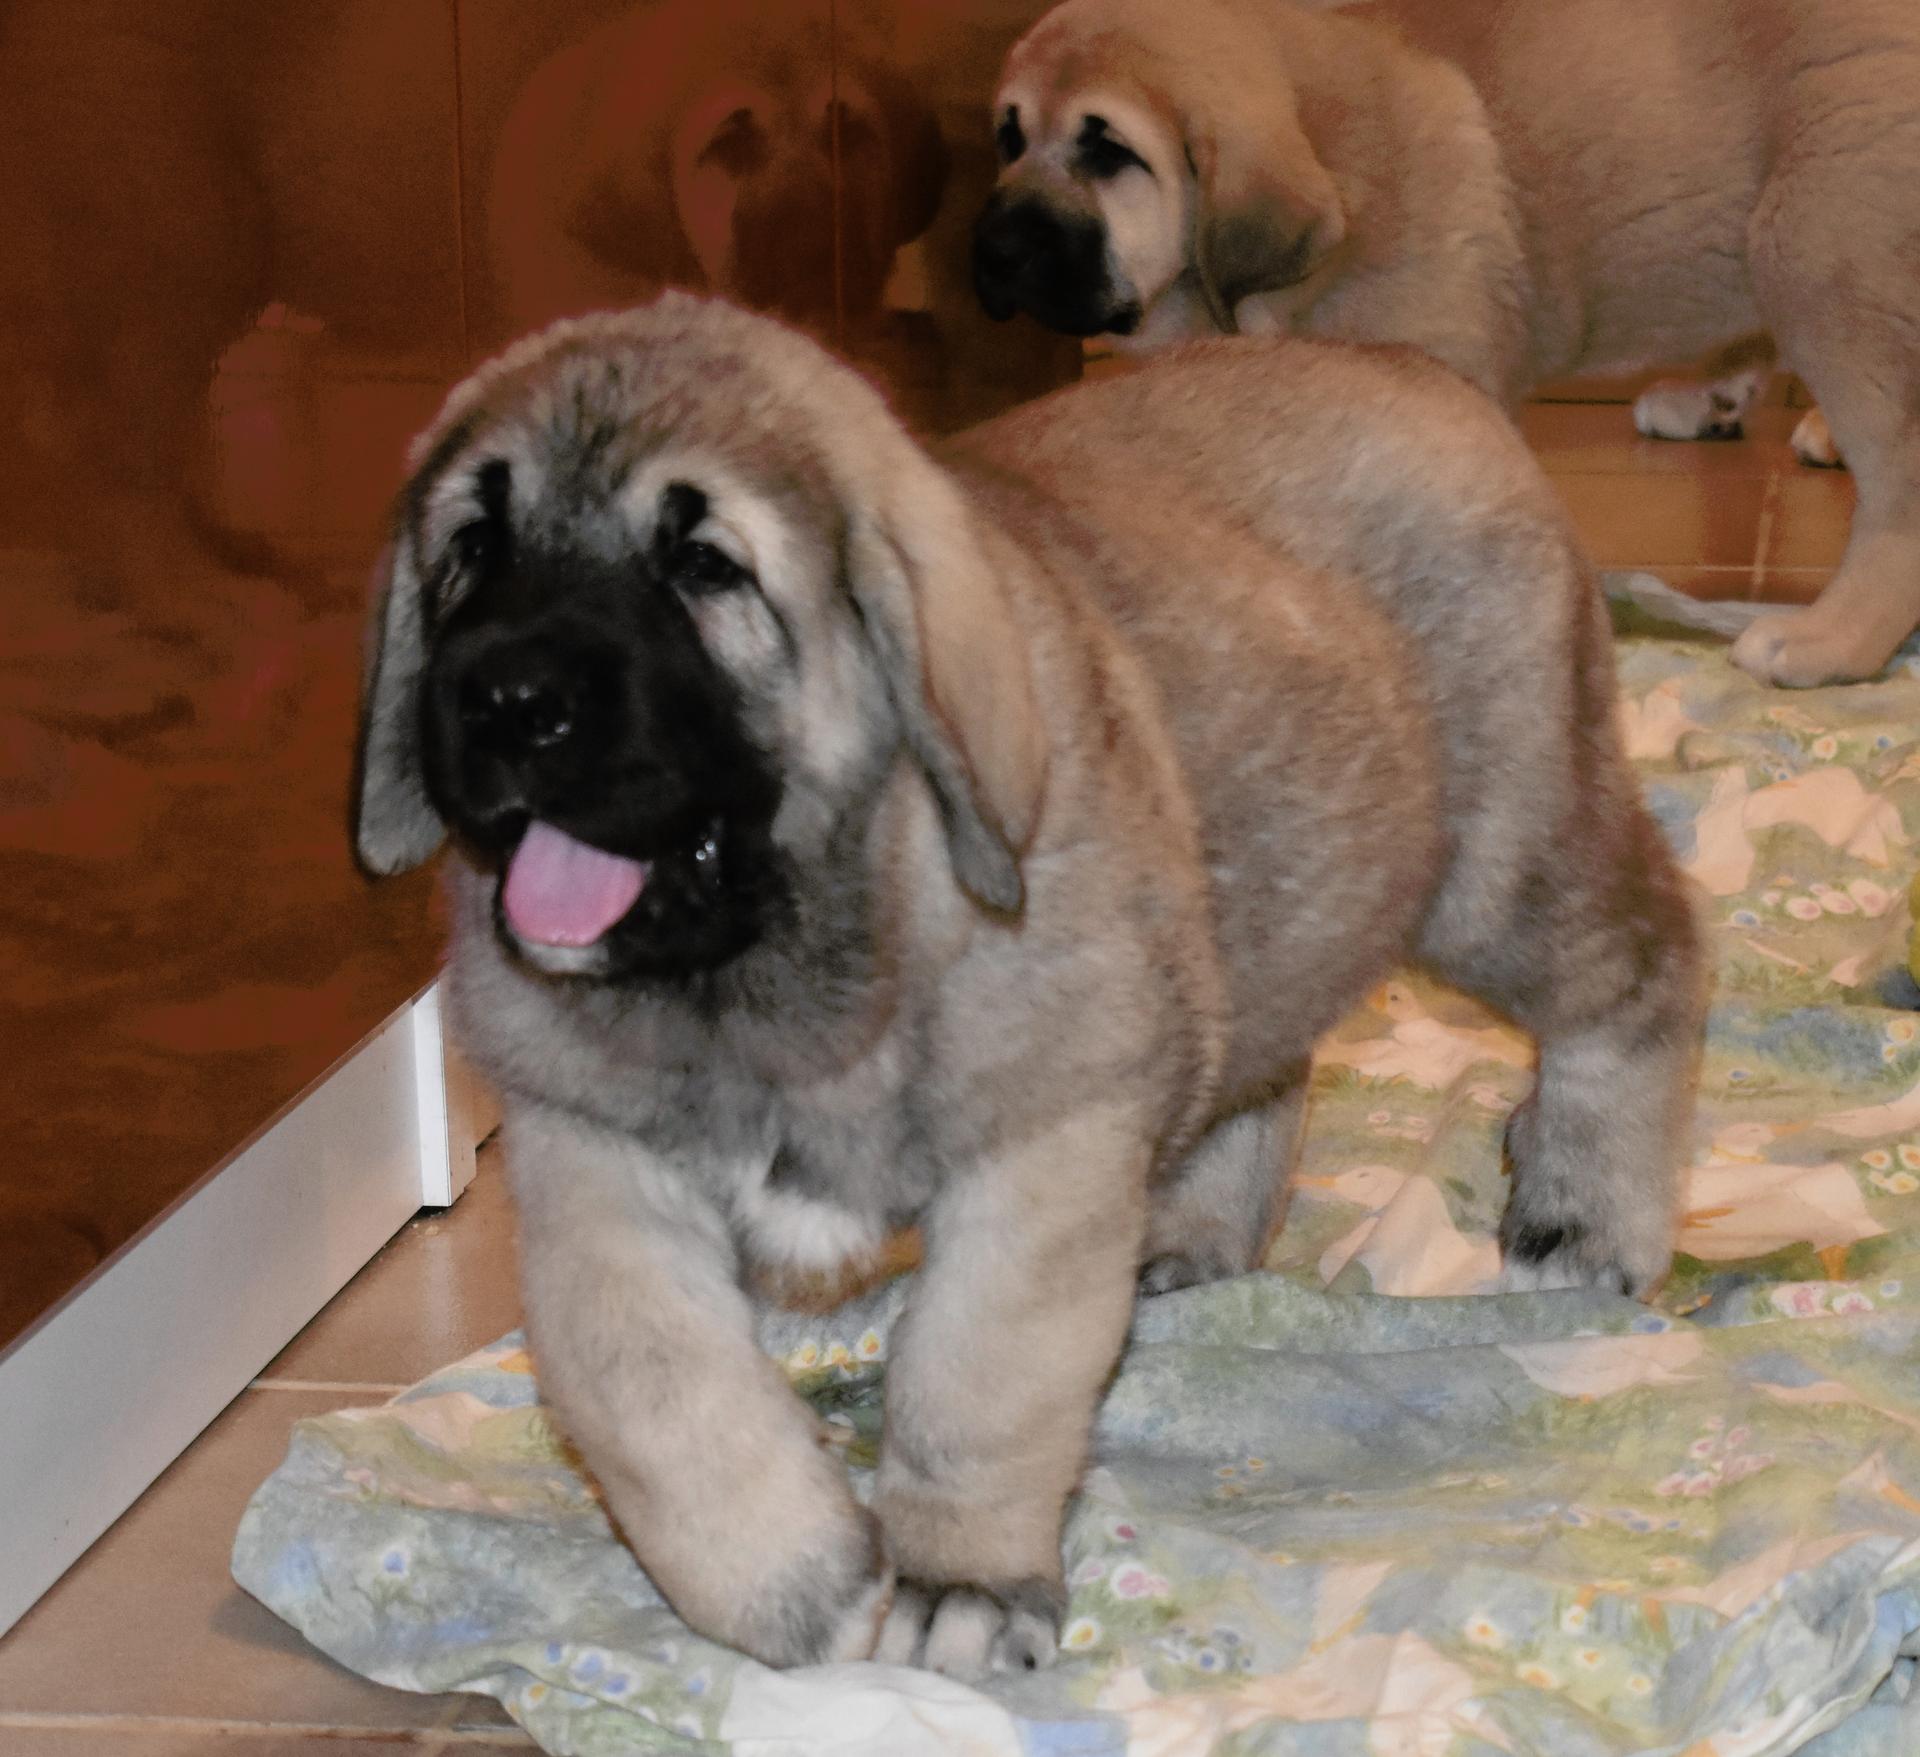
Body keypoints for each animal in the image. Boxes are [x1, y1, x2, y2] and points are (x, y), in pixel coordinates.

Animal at [352, 295, 1703, 1675]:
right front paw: (792, 1584)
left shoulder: (1040, 1154)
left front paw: (963, 1580)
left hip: (1501, 861)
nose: (503, 698)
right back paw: (1196, 1234)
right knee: (1269, 1061)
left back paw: (1589, 1212)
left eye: (704, 565)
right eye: (472, 544)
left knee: (1645, 965)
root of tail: (1399, 362)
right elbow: (653, 1394)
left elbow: (973, 1384)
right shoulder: (595, 1161)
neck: (765, 976)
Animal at [973, 0, 1920, 689]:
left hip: (1821, 247)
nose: (992, 246)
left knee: (1895, 493)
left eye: (1109, 152)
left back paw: (1831, 639)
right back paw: (1710, 397)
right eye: (1009, 136)